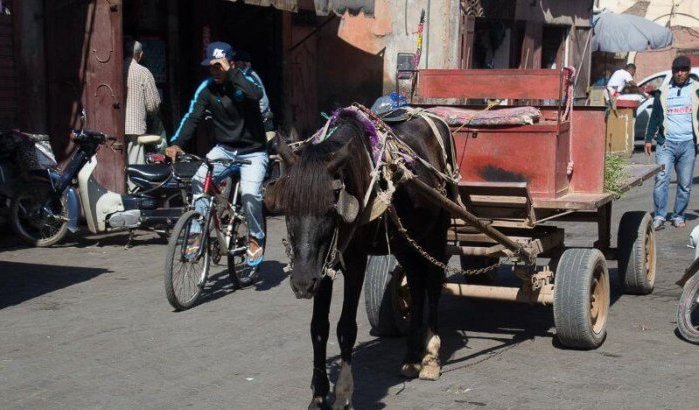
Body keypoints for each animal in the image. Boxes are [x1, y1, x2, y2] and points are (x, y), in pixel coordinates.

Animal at [266, 107, 454, 408]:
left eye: (330, 210)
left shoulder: (355, 262)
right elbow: (318, 328)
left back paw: (430, 357)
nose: (302, 284)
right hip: (405, 238)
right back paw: (411, 357)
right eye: (288, 209)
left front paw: (343, 394)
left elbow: (345, 327)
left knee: (434, 282)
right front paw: (319, 394)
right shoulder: (323, 266)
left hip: (436, 229)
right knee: (416, 281)